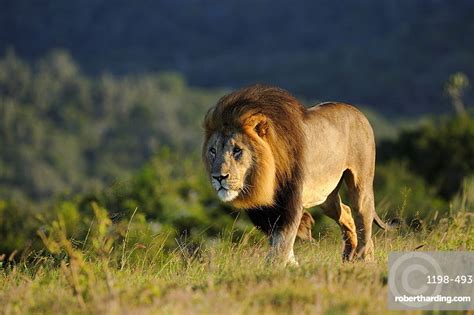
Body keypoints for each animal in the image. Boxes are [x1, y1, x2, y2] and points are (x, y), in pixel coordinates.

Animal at [202, 84, 390, 266]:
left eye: (237, 150)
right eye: (213, 151)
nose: (219, 177)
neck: (263, 179)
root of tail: (357, 111)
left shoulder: (292, 202)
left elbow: (283, 243)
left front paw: (277, 266)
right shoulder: (265, 210)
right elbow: (278, 242)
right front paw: (292, 264)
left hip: (360, 186)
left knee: (363, 219)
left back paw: (364, 258)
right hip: (326, 198)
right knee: (346, 212)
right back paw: (348, 256)